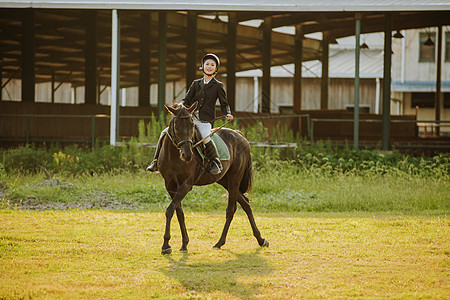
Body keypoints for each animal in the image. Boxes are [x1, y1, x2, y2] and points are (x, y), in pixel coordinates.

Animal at [158, 102, 268, 254]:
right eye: (175, 125)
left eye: (192, 125)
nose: (187, 155)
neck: (173, 156)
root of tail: (239, 135)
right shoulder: (170, 186)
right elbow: (178, 212)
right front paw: (184, 244)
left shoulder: (185, 185)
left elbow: (169, 210)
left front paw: (166, 245)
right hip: (225, 181)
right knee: (246, 204)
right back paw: (260, 239)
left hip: (234, 179)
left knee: (231, 210)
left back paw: (219, 242)